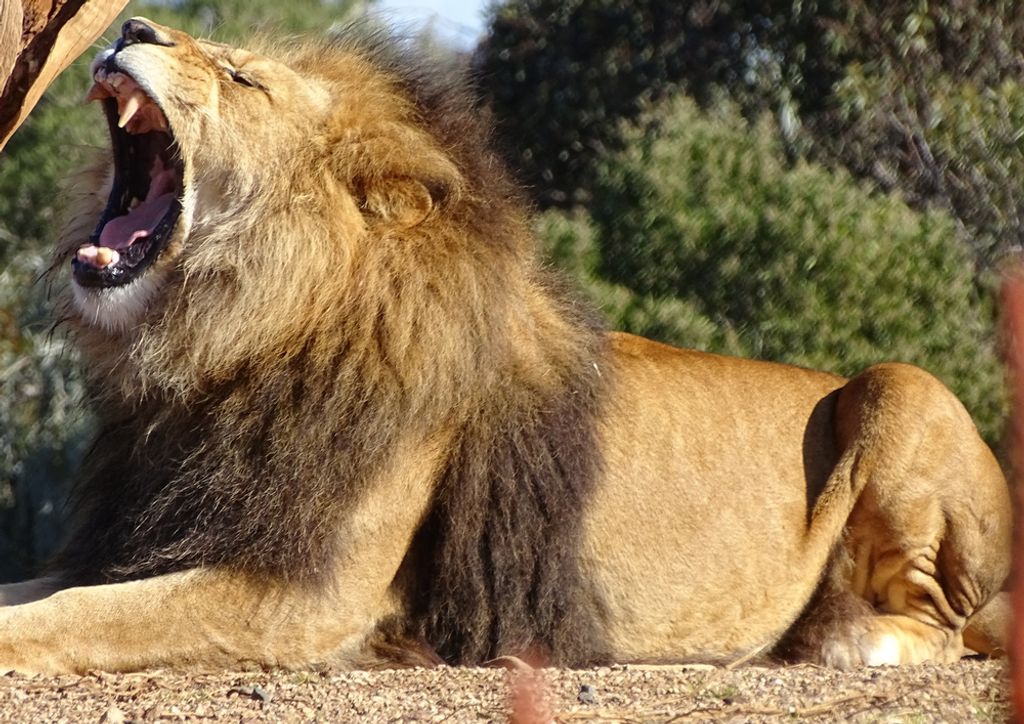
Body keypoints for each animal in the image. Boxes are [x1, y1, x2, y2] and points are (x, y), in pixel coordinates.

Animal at [0, 18, 1011, 674]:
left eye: (244, 78)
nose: (132, 23)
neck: (221, 352)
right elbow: (41, 589)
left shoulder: (302, 596)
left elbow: (81, 615)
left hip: (900, 387)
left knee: (946, 626)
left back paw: (846, 637)